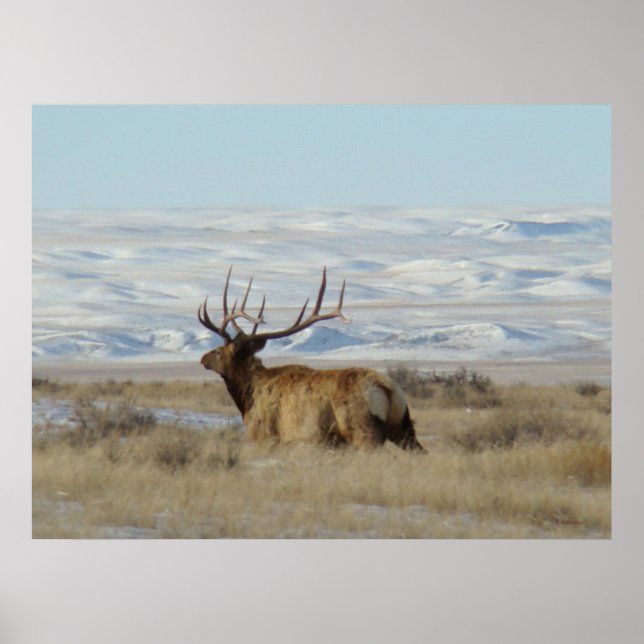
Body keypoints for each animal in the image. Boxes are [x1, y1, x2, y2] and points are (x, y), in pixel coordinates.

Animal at [197, 267, 425, 452]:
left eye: (218, 351)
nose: (203, 358)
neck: (247, 398)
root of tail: (387, 388)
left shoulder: (266, 435)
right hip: (403, 426)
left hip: (364, 430)